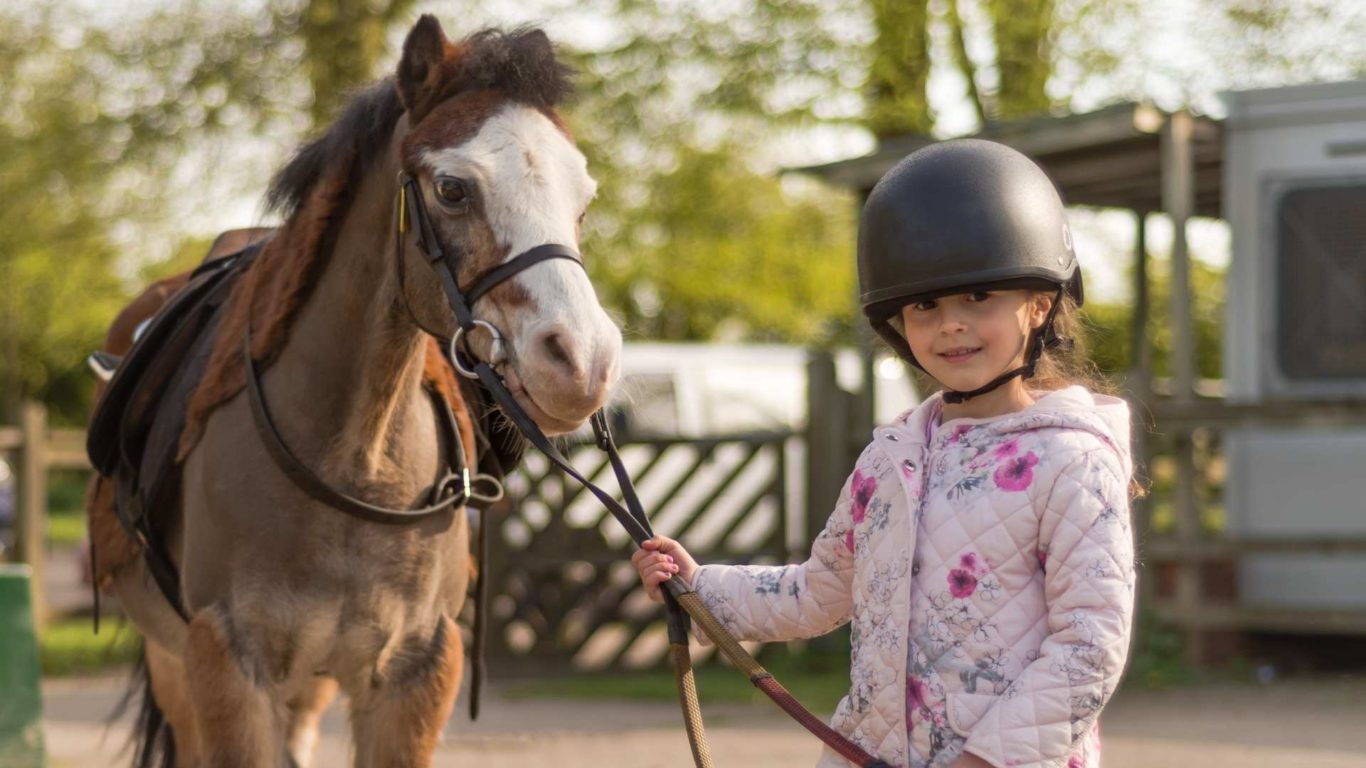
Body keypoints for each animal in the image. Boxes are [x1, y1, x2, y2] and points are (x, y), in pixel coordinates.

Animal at [97, 17, 621, 766]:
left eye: (582, 199)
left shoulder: (413, 676)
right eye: (452, 189)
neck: (352, 462)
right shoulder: (225, 666)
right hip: (175, 666)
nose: (582, 358)